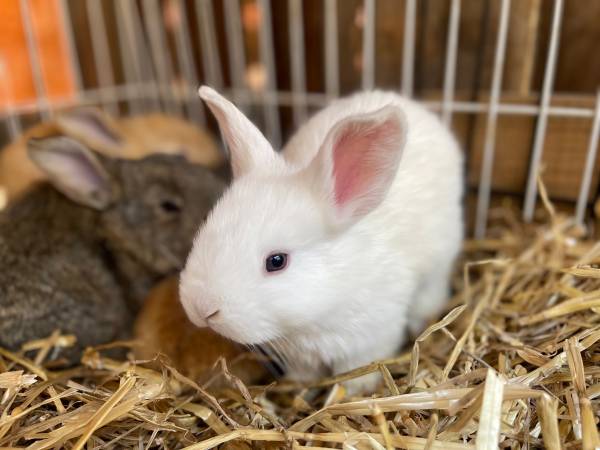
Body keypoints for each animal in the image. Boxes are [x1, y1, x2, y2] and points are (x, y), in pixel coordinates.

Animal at [179, 85, 464, 394]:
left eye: (276, 261)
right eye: (205, 228)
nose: (201, 309)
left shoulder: (369, 341)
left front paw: (354, 392)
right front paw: (300, 387)